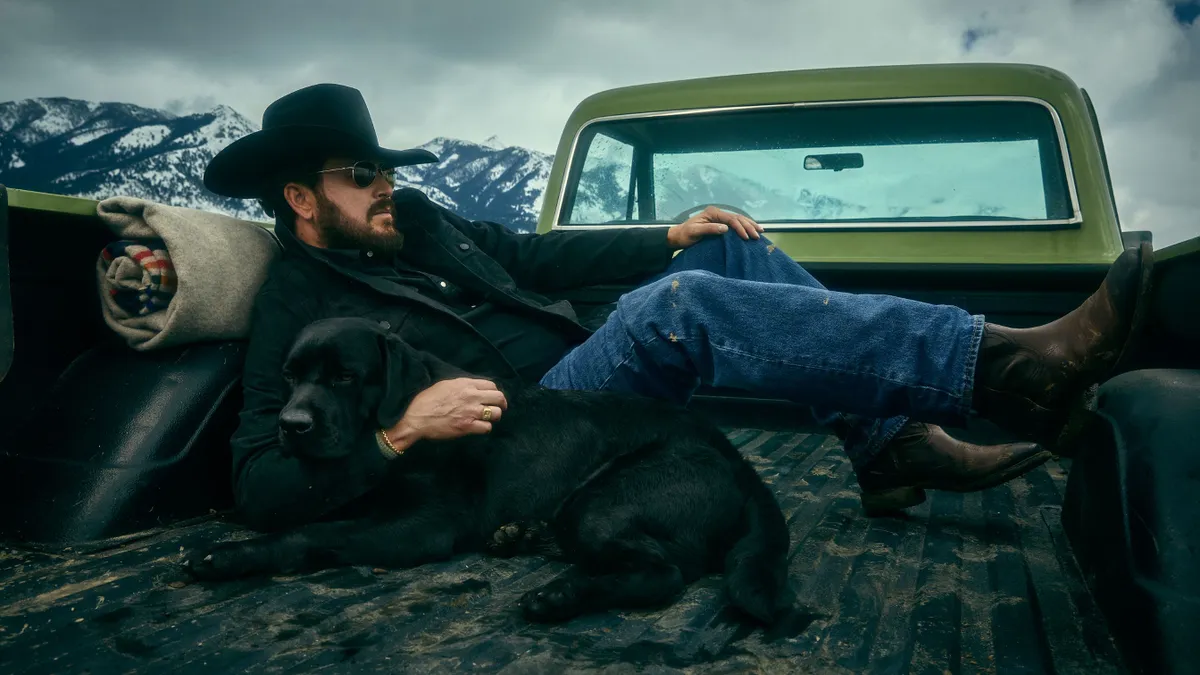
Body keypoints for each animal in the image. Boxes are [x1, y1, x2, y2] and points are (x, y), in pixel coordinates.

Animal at [182, 317, 792, 624]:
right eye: (289, 376)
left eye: (345, 377)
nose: (291, 424)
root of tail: (736, 458)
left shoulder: (424, 525)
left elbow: (312, 531)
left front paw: (231, 555)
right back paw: (521, 536)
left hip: (606, 501)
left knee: (663, 573)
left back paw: (560, 596)